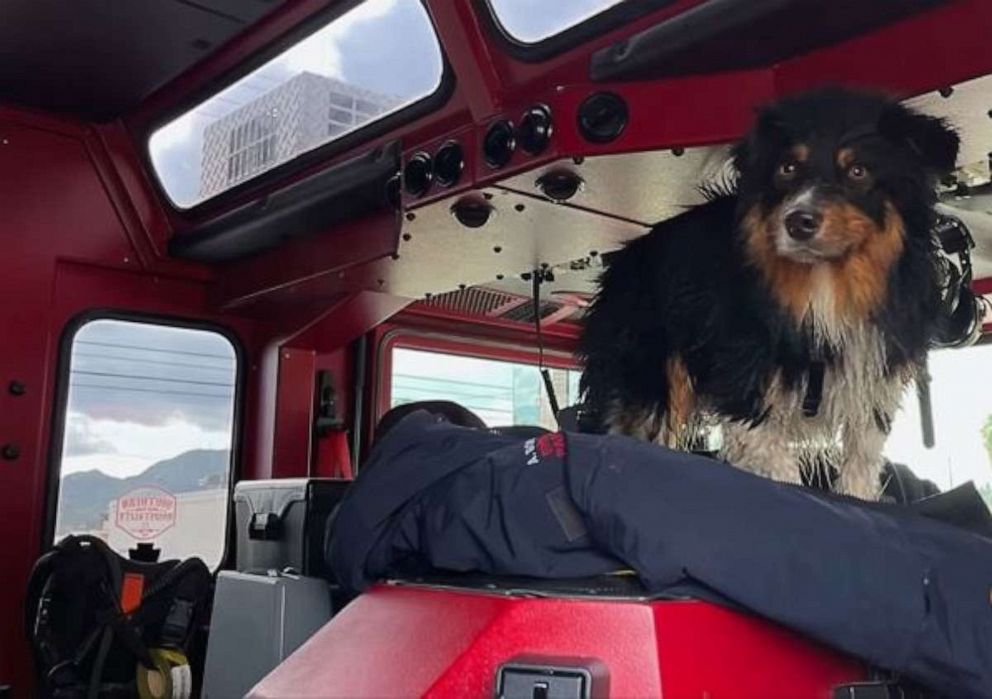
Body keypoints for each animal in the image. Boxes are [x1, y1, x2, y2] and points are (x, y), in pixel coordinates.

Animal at [580, 87, 960, 500]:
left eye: (858, 171)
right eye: (787, 169)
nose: (797, 221)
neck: (827, 282)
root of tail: (623, 257)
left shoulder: (872, 377)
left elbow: (861, 461)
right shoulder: (746, 380)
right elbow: (775, 464)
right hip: (649, 376)